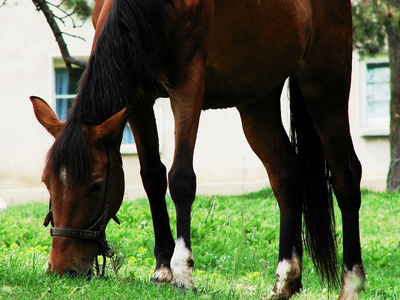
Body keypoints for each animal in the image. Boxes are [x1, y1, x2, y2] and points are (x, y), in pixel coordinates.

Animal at [30, 0, 366, 298]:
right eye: (47, 182)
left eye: (97, 185)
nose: (62, 269)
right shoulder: (138, 99)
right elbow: (152, 177)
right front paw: (162, 268)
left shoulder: (187, 86)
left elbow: (180, 179)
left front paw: (183, 272)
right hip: (258, 101)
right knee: (285, 176)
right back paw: (284, 282)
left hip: (325, 85)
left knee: (346, 174)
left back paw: (351, 285)